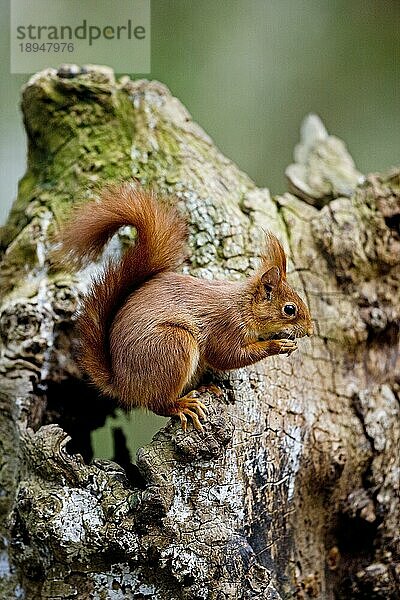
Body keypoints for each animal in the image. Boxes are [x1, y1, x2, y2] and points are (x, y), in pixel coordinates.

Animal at [58, 183, 312, 432]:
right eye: (289, 309)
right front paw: (277, 345)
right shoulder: (226, 326)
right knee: (157, 404)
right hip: (173, 344)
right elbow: (226, 356)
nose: (309, 331)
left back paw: (204, 389)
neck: (243, 306)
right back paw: (182, 406)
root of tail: (122, 384)